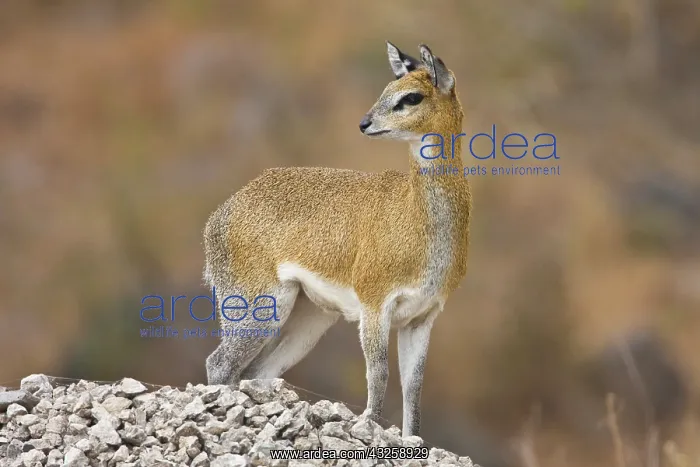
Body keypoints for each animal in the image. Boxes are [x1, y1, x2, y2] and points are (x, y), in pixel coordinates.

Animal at [203, 42, 471, 437]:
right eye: (387, 89)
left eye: (412, 96)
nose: (364, 123)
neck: (418, 220)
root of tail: (219, 216)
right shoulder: (376, 306)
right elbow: (379, 372)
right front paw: (368, 425)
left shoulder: (422, 316)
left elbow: (414, 387)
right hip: (259, 308)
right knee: (219, 363)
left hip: (308, 318)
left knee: (256, 371)